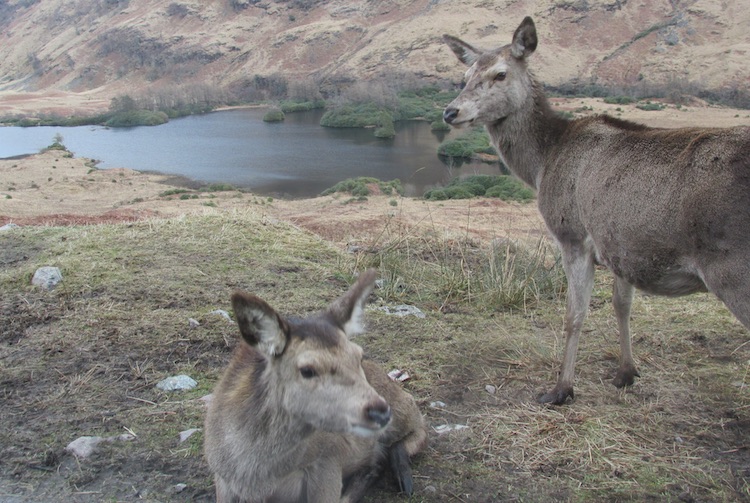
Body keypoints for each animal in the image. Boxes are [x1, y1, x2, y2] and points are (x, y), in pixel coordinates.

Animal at [204, 269, 427, 502]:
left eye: (359, 356)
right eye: (307, 370)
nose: (380, 412)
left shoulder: (328, 461)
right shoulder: (222, 479)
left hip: (402, 408)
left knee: (418, 426)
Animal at [442, 16, 750, 405]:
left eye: (500, 73)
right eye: (465, 74)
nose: (451, 111)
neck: (543, 163)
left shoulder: (572, 235)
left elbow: (574, 314)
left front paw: (561, 389)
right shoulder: (620, 242)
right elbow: (622, 304)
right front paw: (626, 372)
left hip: (734, 270)